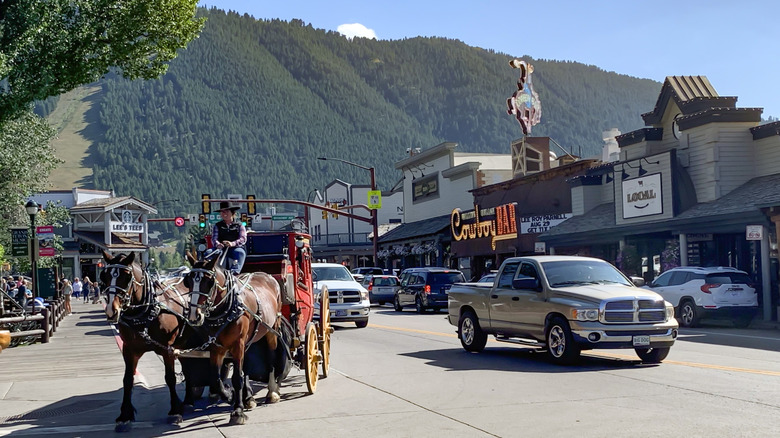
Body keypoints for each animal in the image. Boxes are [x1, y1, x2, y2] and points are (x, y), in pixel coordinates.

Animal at [98, 252, 198, 432]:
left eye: (127, 277)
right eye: (105, 276)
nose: (111, 310)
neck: (145, 312)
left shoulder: (167, 348)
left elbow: (170, 378)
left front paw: (174, 411)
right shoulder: (129, 349)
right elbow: (127, 380)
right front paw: (124, 416)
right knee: (188, 368)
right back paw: (188, 400)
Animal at [184, 252, 284, 426]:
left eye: (209, 282)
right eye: (188, 281)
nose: (194, 316)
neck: (227, 308)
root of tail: (266, 275)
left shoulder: (237, 344)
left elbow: (237, 378)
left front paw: (238, 411)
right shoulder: (216, 346)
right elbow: (215, 379)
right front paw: (230, 396)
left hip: (272, 329)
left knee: (271, 357)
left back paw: (272, 392)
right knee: (246, 366)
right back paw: (249, 398)